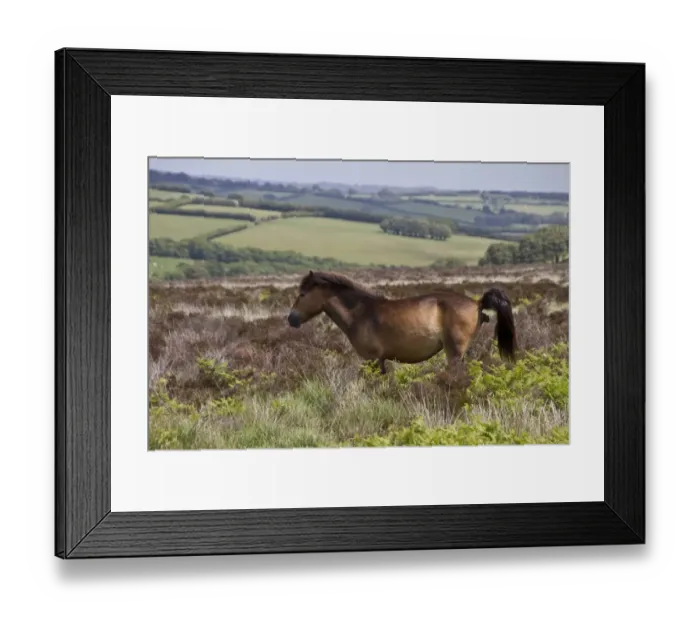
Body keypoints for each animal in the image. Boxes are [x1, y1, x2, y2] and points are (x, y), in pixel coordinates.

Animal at [286, 270, 516, 375]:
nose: (291, 319)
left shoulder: (373, 359)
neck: (360, 312)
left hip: (454, 352)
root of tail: (477, 303)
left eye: (302, 294)